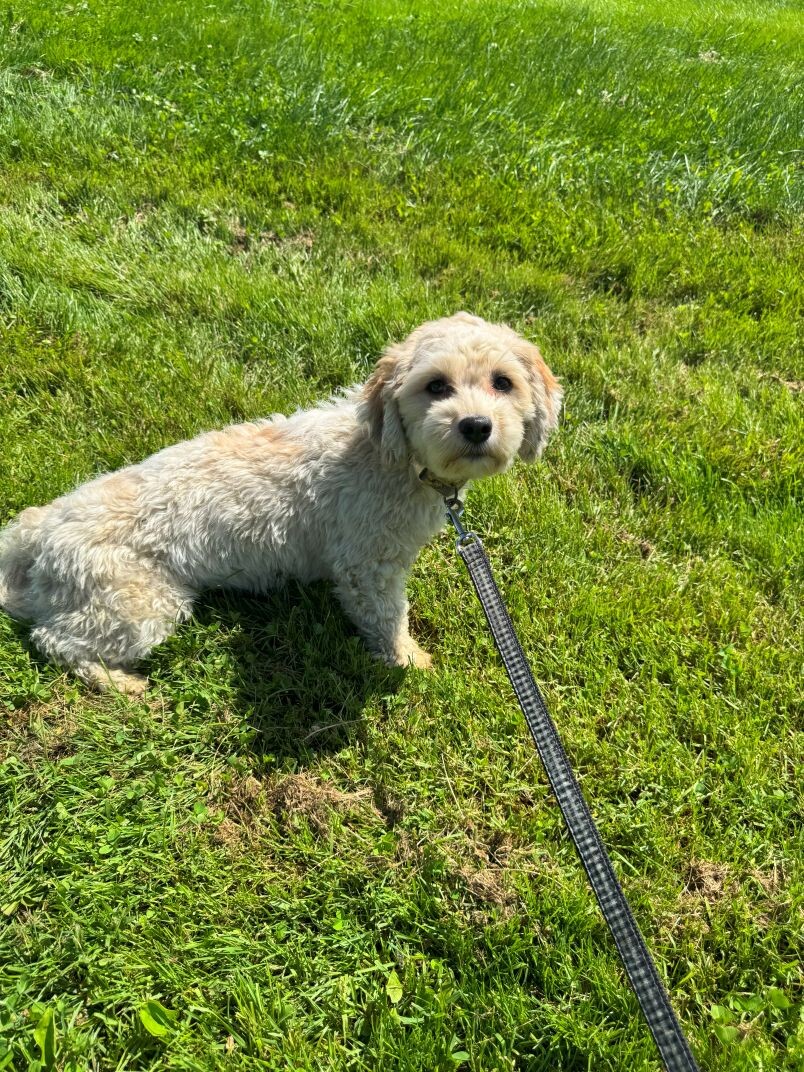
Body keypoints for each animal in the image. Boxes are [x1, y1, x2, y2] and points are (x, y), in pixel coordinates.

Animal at [0, 312, 562, 695]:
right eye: (436, 386)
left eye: (503, 382)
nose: (476, 426)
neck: (390, 456)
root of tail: (39, 527)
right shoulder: (368, 566)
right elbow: (386, 616)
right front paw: (406, 659)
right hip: (139, 605)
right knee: (54, 641)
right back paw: (120, 684)